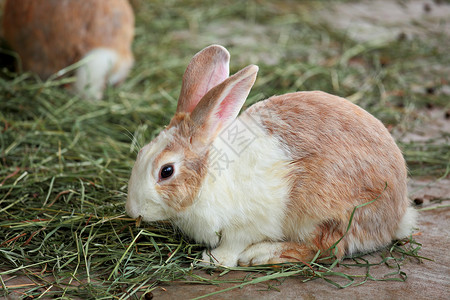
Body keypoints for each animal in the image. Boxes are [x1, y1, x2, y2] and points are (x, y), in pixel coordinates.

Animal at [125, 44, 416, 268]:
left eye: (166, 171)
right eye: (141, 153)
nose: (132, 210)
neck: (209, 177)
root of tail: (396, 215)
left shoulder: (245, 225)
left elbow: (233, 245)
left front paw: (213, 260)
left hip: (323, 211)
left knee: (326, 249)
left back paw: (260, 255)